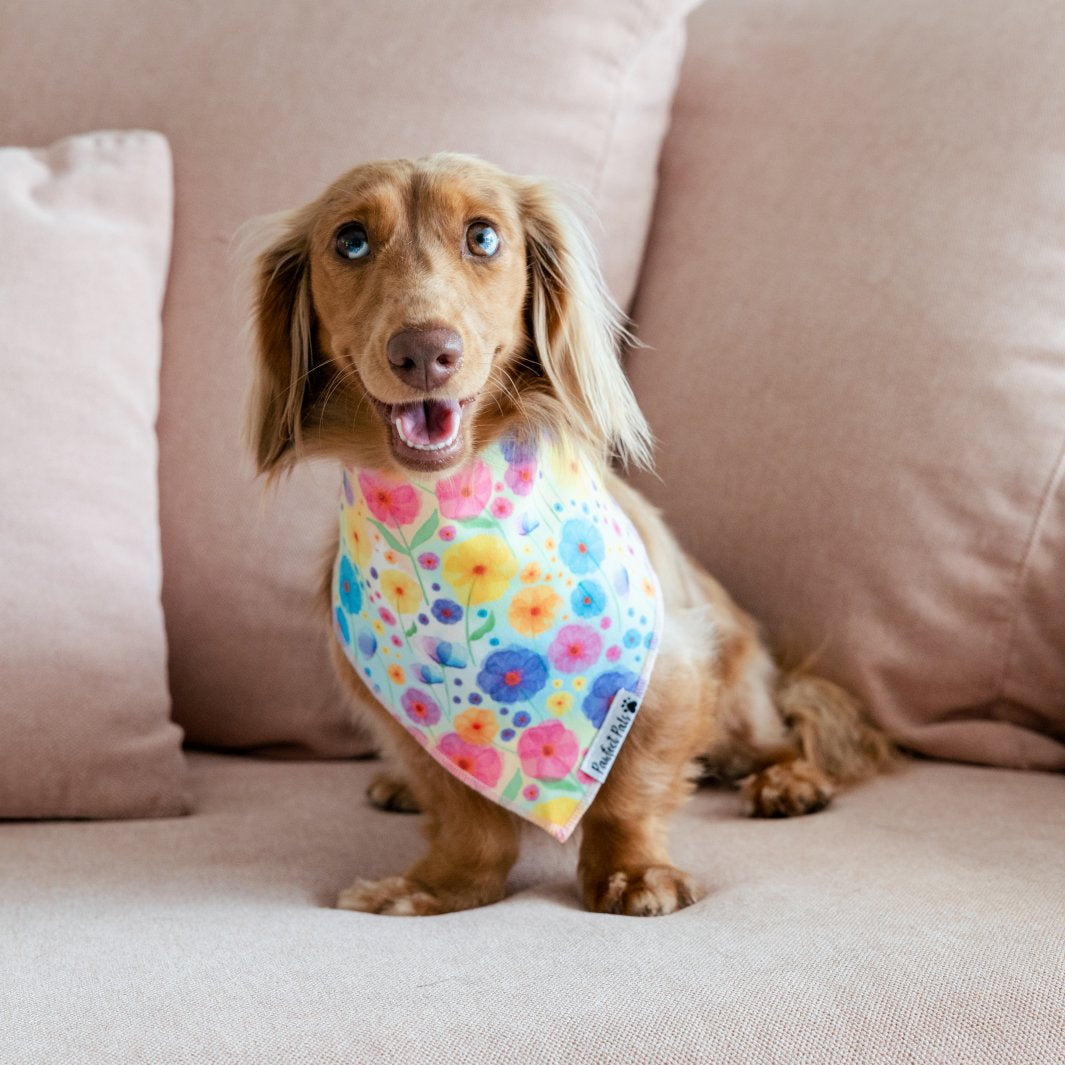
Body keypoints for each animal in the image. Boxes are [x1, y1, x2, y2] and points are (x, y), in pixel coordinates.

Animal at [244, 152, 894, 915]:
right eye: (349, 241)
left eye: (484, 237)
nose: (424, 353)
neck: (456, 520)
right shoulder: (395, 706)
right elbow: (464, 816)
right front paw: (436, 887)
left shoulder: (667, 669)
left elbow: (631, 791)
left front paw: (635, 873)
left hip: (740, 690)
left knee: (786, 738)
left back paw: (787, 780)